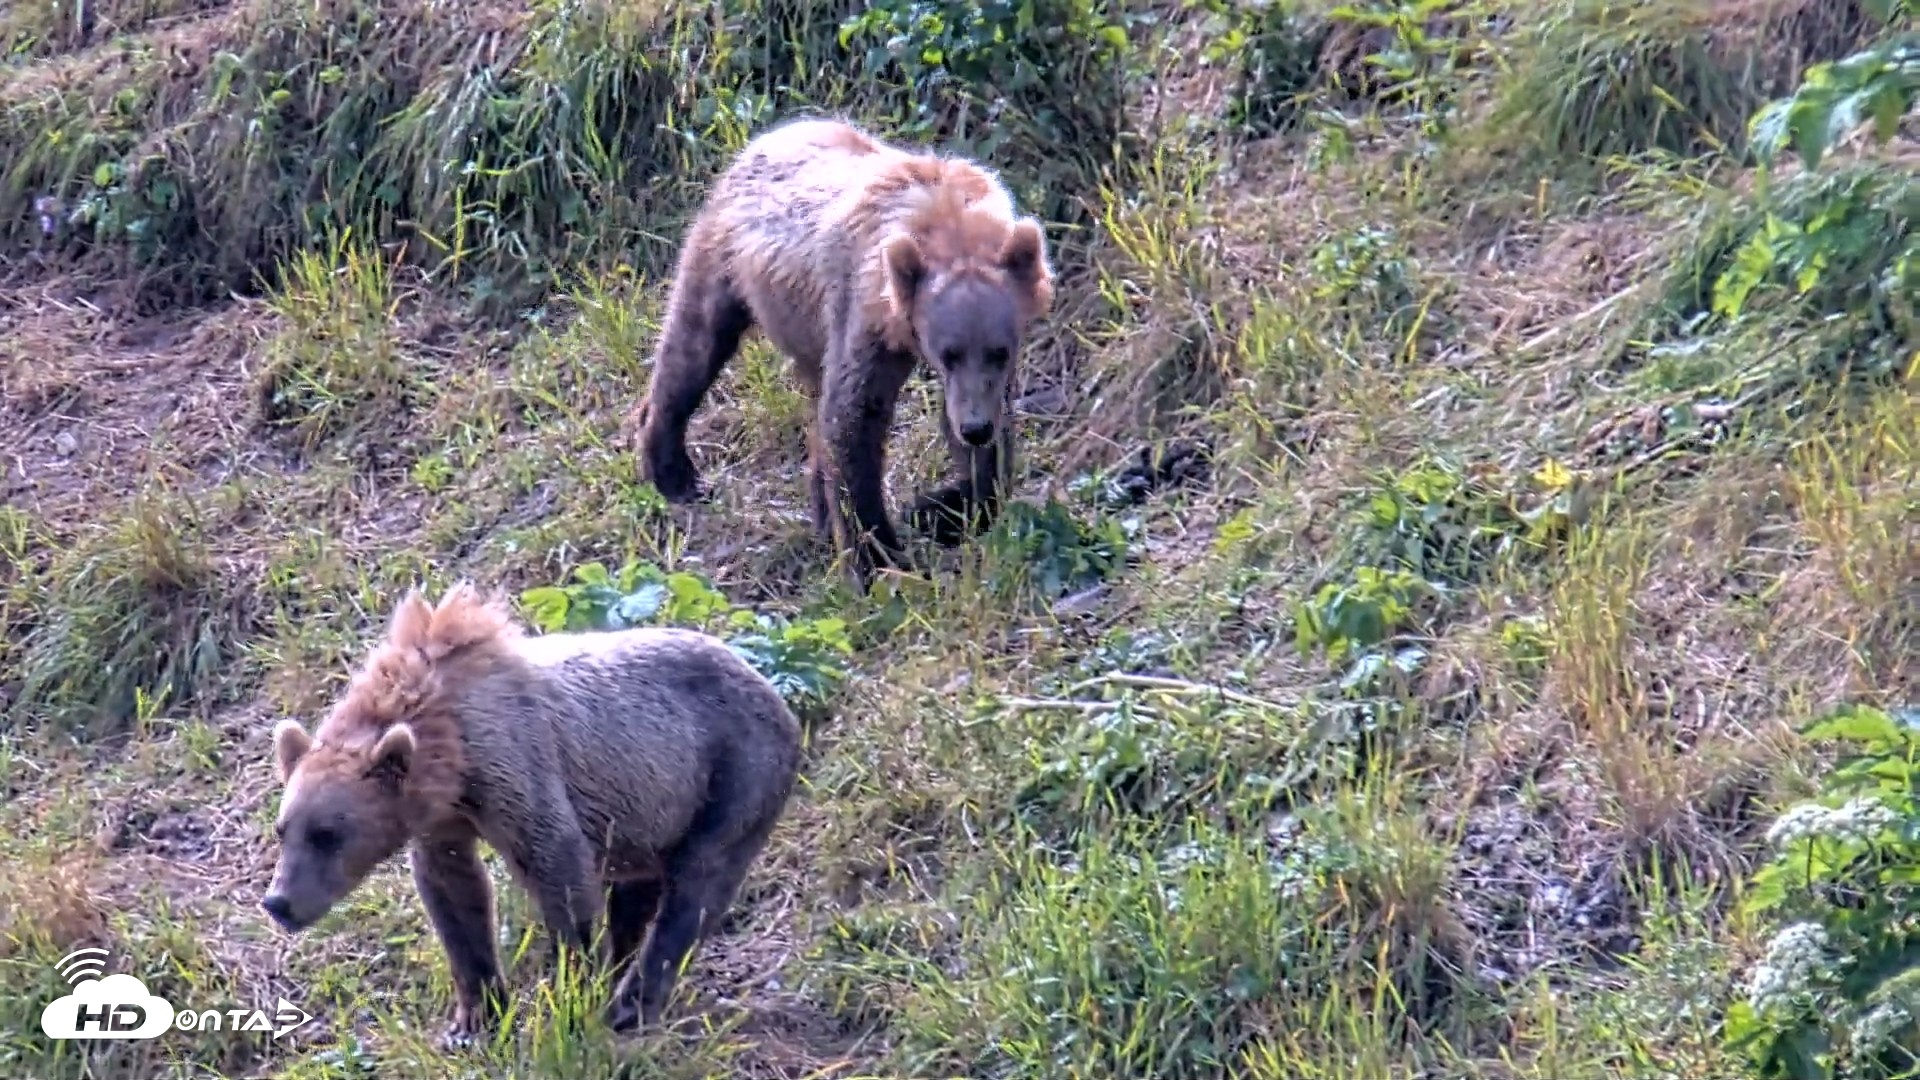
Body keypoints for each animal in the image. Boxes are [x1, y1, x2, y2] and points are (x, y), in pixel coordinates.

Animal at [259, 582, 803, 1047]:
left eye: (327, 833)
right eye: (284, 830)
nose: (279, 901)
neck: (449, 747)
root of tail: (770, 685)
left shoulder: (513, 768)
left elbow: (556, 867)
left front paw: (573, 994)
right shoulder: (442, 819)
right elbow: (454, 893)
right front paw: (473, 1018)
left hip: (734, 771)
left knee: (698, 884)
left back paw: (630, 1003)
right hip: (651, 811)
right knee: (637, 890)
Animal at [632, 115, 1056, 588]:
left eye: (1000, 351)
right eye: (949, 352)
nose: (976, 428)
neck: (950, 223)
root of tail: (770, 134)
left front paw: (945, 506)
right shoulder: (862, 314)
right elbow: (854, 421)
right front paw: (879, 557)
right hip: (722, 256)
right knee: (693, 345)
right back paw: (673, 470)